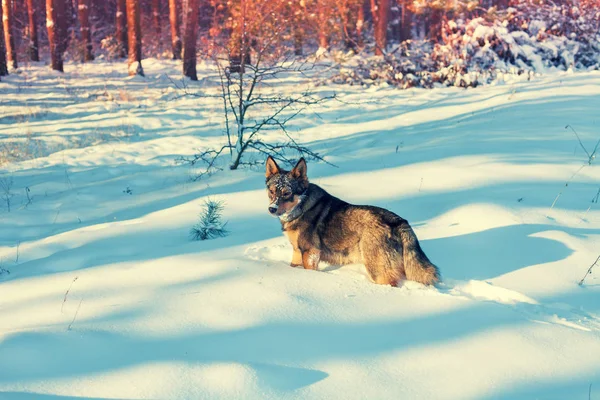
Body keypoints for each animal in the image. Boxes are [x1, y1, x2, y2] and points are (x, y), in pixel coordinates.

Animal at [264, 155, 438, 286]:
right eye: (271, 192)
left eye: (287, 193)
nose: (272, 209)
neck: (301, 206)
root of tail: (399, 221)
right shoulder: (297, 251)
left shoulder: (311, 253)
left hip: (377, 271)